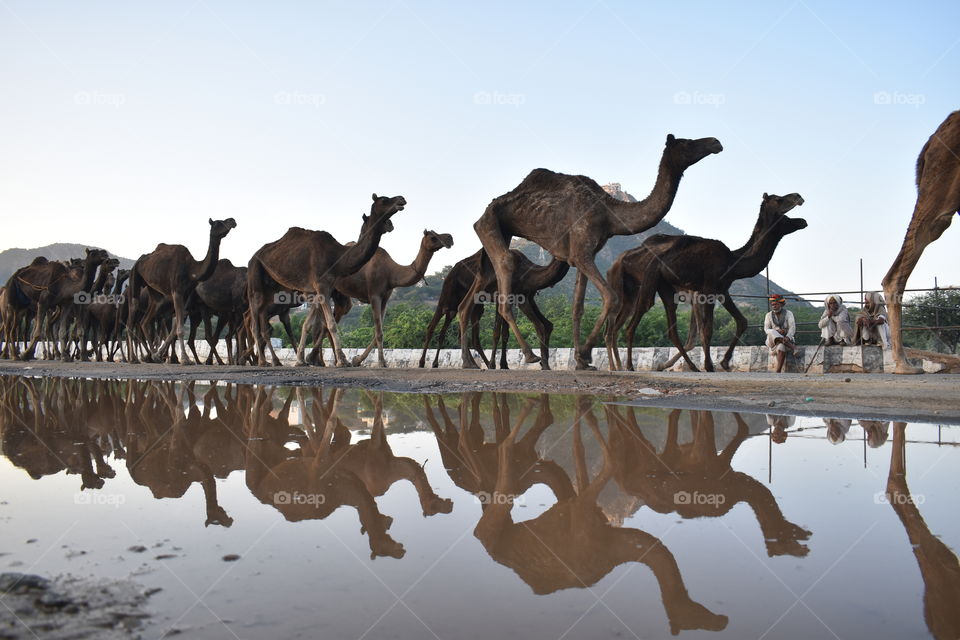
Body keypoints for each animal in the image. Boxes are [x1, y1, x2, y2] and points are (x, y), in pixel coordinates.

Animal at [126, 218, 237, 364]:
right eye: (218, 222)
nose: (233, 221)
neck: (192, 270)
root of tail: (139, 261)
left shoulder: (186, 294)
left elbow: (175, 328)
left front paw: (161, 355)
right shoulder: (177, 291)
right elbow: (179, 329)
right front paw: (184, 359)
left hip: (155, 292)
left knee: (145, 320)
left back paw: (154, 356)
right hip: (135, 276)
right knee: (132, 314)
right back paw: (134, 359)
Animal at [247, 194, 405, 367]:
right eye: (384, 200)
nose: (401, 199)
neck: (337, 256)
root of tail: (253, 257)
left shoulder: (319, 289)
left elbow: (307, 324)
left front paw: (301, 360)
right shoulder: (322, 285)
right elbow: (331, 324)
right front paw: (342, 360)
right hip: (255, 277)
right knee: (255, 322)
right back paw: (264, 361)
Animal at [308, 229, 453, 367]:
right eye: (433, 237)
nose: (450, 238)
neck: (391, 272)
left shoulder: (385, 298)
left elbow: (379, 331)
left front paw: (357, 360)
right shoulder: (374, 295)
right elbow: (379, 331)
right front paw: (381, 362)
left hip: (339, 294)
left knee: (330, 320)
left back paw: (328, 360)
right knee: (323, 322)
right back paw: (316, 359)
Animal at [465, 134, 723, 369]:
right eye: (686, 142)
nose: (716, 142)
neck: (608, 213)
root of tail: (481, 215)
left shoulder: (583, 255)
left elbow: (577, 307)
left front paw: (581, 361)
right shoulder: (581, 252)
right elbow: (611, 296)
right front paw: (586, 353)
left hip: (502, 231)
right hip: (488, 222)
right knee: (505, 263)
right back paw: (528, 355)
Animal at [606, 192, 807, 371]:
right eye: (779, 200)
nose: (798, 197)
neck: (733, 261)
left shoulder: (722, 290)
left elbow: (741, 321)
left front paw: (724, 363)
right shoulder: (708, 290)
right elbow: (707, 330)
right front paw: (710, 365)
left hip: (665, 287)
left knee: (671, 328)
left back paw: (690, 366)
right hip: (650, 279)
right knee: (633, 321)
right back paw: (628, 366)